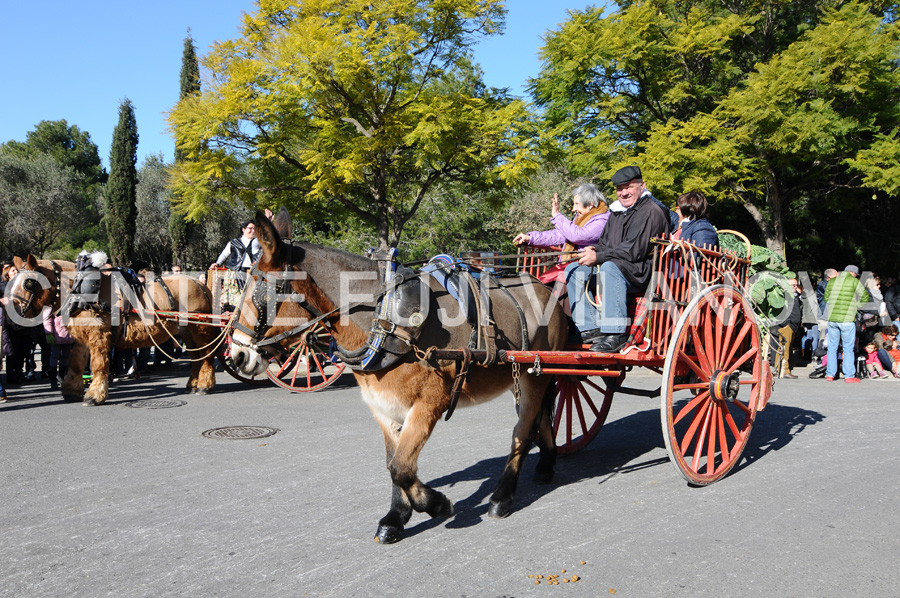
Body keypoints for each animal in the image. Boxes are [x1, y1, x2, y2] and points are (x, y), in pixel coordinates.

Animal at [8, 253, 218, 408]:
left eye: (28, 283)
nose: (13, 315)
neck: (80, 289)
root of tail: (201, 284)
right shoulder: (84, 337)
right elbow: (76, 363)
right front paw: (70, 390)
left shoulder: (99, 335)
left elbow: (99, 365)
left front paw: (94, 395)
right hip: (187, 330)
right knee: (196, 356)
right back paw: (193, 384)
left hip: (199, 328)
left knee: (207, 353)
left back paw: (205, 385)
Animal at [232, 213, 568, 548]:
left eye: (260, 289)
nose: (237, 354)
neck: (384, 318)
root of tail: (544, 289)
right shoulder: (383, 405)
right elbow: (392, 462)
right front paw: (396, 517)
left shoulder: (429, 404)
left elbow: (402, 467)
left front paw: (437, 504)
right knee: (539, 419)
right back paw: (547, 463)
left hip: (535, 378)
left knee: (521, 432)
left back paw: (502, 497)